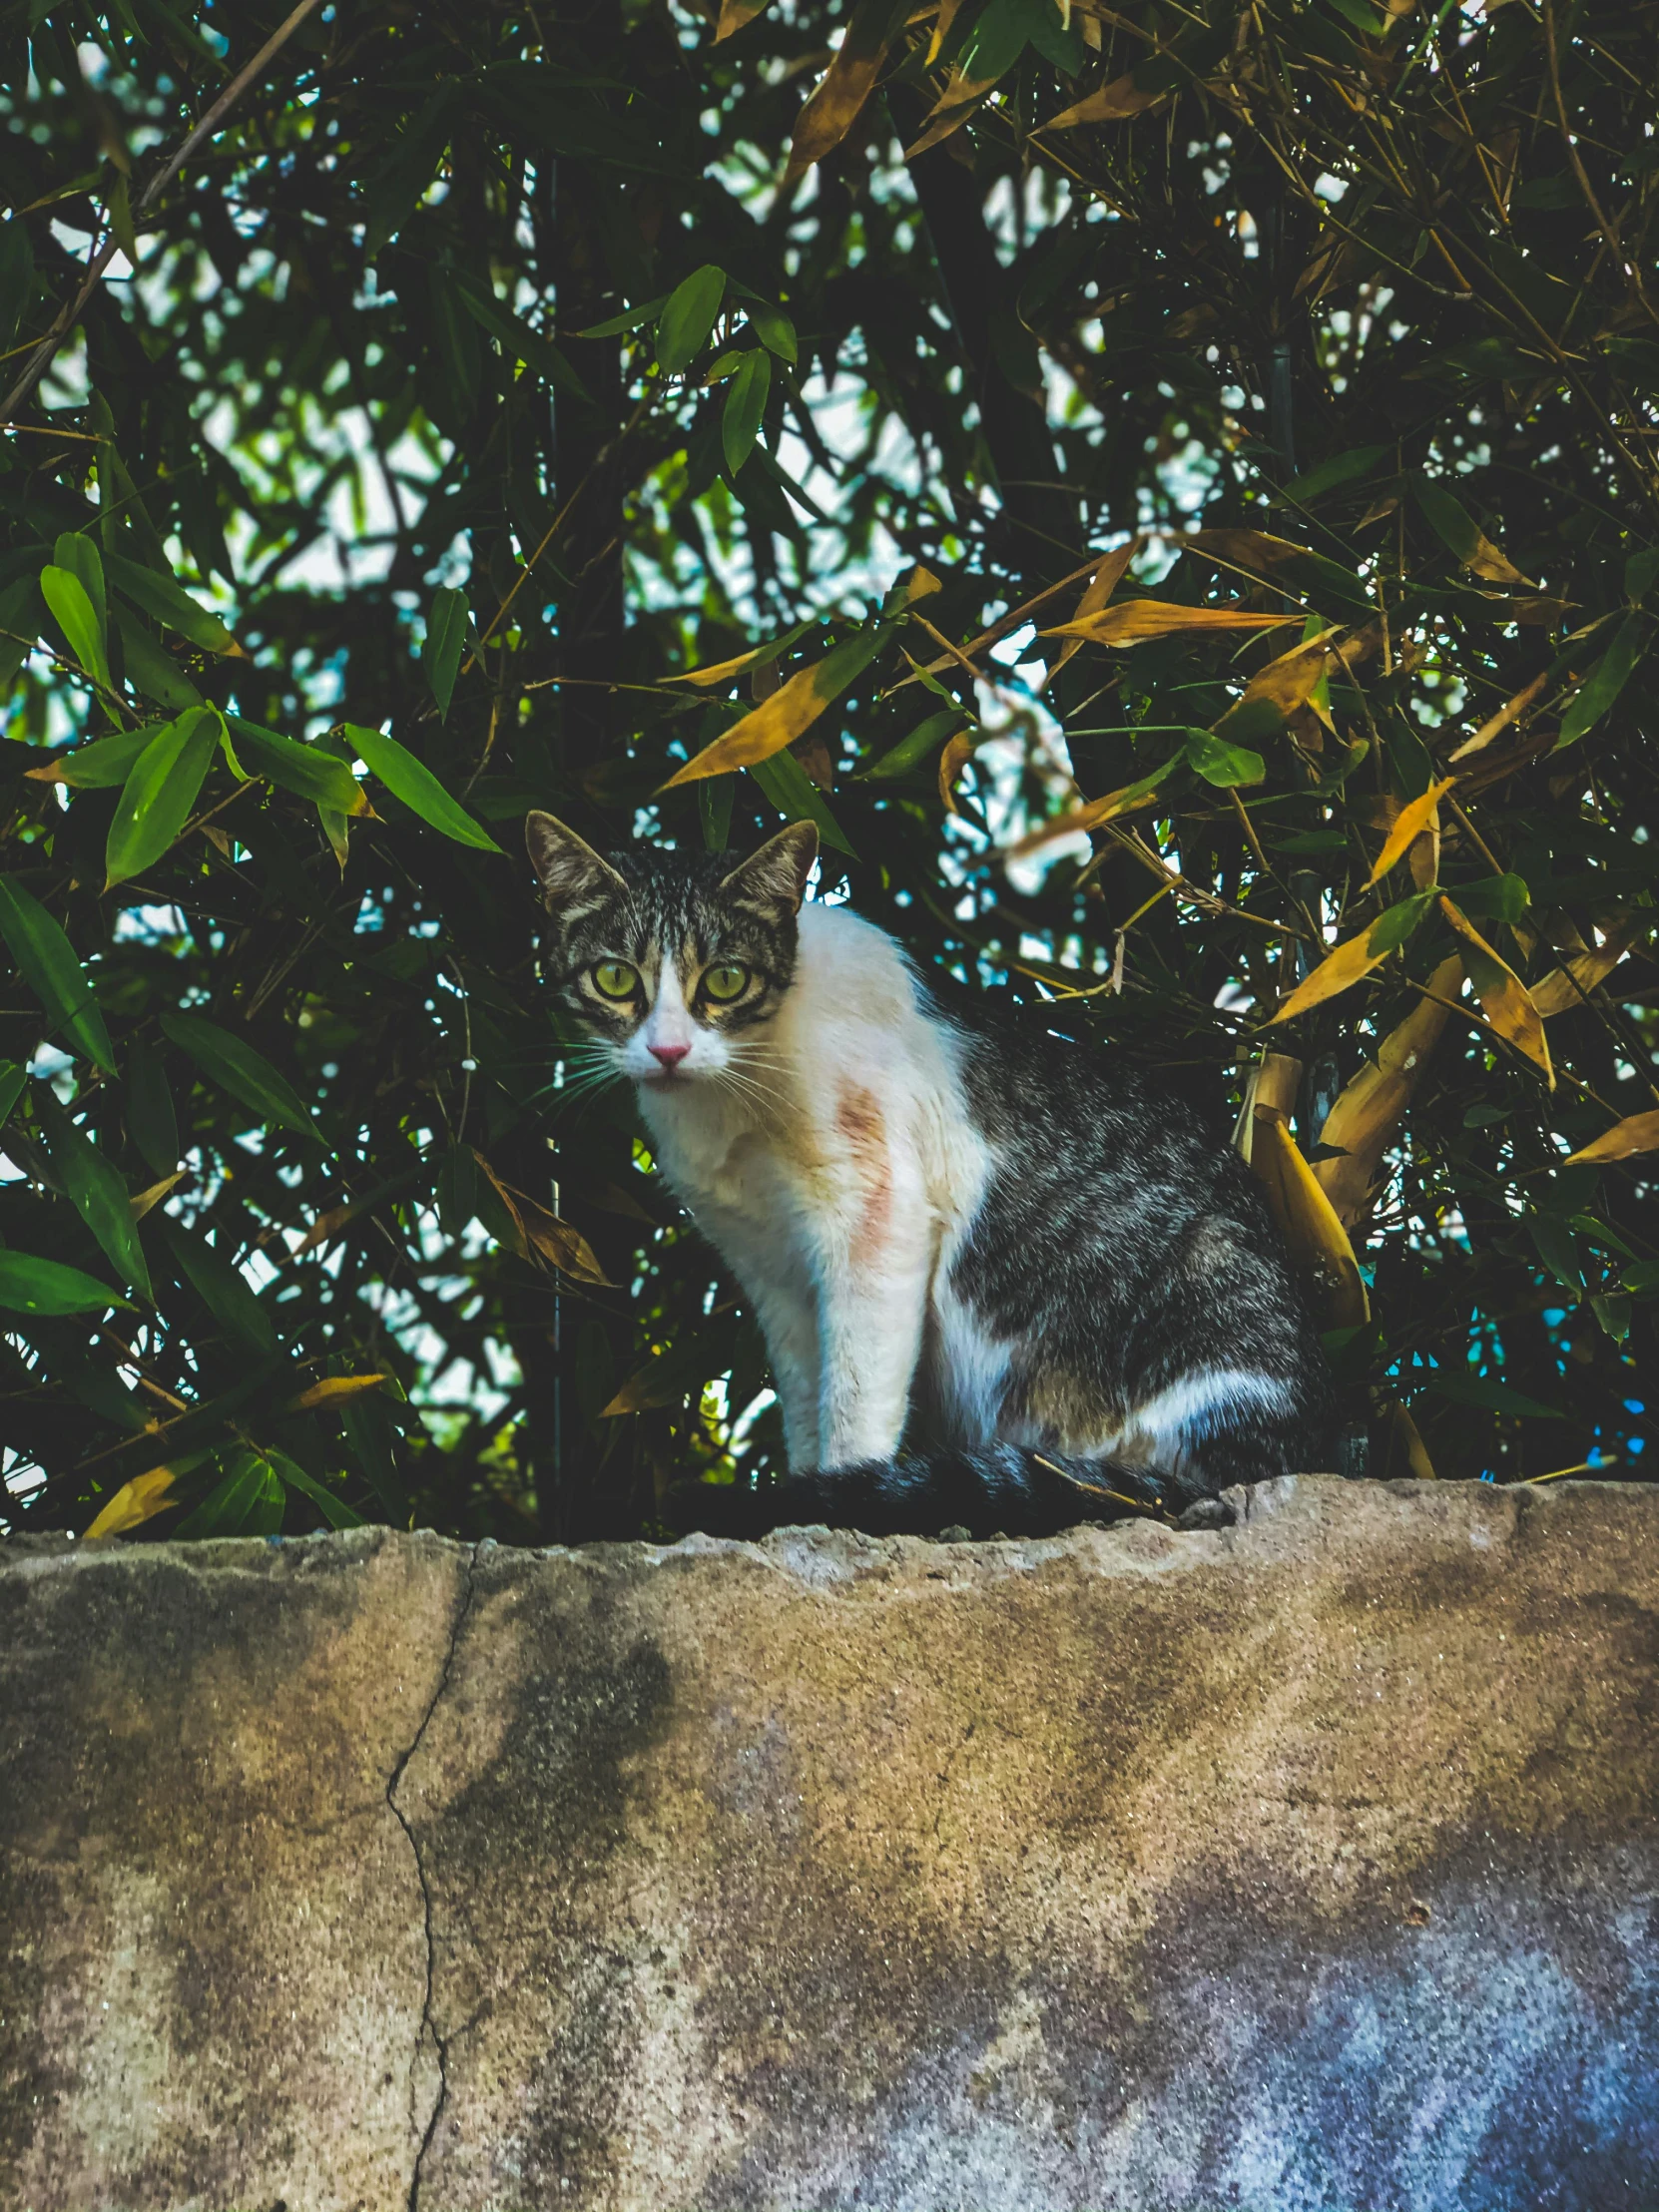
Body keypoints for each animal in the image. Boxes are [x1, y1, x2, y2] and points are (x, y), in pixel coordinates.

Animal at [526, 814, 1336, 1539]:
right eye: (615, 978)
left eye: (724, 980)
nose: (667, 1050)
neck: (729, 1103)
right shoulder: (771, 1269)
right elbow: (807, 1398)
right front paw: (805, 1493)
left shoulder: (878, 1213)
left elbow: (855, 1395)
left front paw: (831, 1504)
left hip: (1206, 1301)